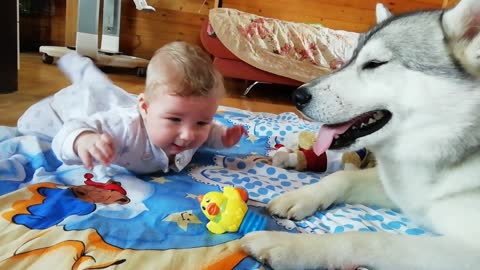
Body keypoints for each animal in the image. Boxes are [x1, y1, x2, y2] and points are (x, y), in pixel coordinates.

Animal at [242, 0, 480, 268]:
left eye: (374, 63)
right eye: (350, 59)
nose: (297, 96)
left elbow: (370, 239)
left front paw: (291, 245)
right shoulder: (399, 189)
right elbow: (342, 177)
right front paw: (301, 196)